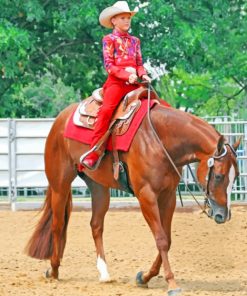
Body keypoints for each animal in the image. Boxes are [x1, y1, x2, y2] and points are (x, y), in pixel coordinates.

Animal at [25, 100, 239, 294]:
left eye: (236, 176)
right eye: (219, 176)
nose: (223, 215)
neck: (159, 139)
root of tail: (60, 119)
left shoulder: (168, 196)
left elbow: (168, 239)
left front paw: (144, 277)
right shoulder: (146, 195)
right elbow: (161, 239)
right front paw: (171, 283)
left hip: (99, 187)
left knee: (96, 225)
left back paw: (104, 273)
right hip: (60, 184)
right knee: (58, 224)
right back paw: (53, 270)